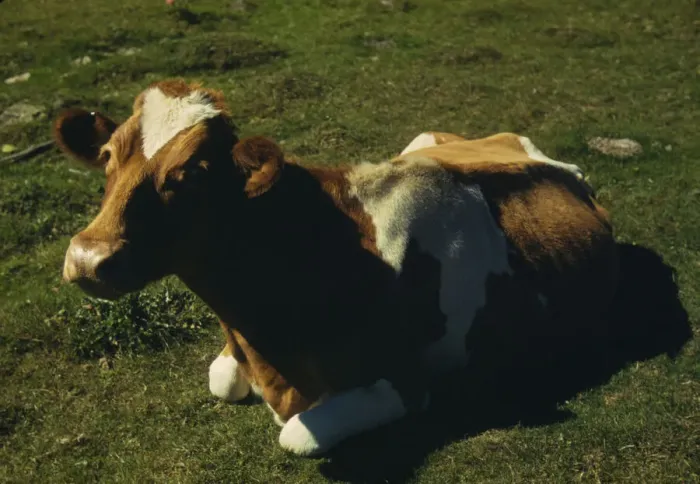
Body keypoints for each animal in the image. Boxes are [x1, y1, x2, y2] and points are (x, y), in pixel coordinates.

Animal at [54, 79, 619, 457]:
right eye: (108, 155)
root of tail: (552, 160)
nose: (88, 257)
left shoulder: (403, 383)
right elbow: (221, 379)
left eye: (194, 171)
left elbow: (296, 436)